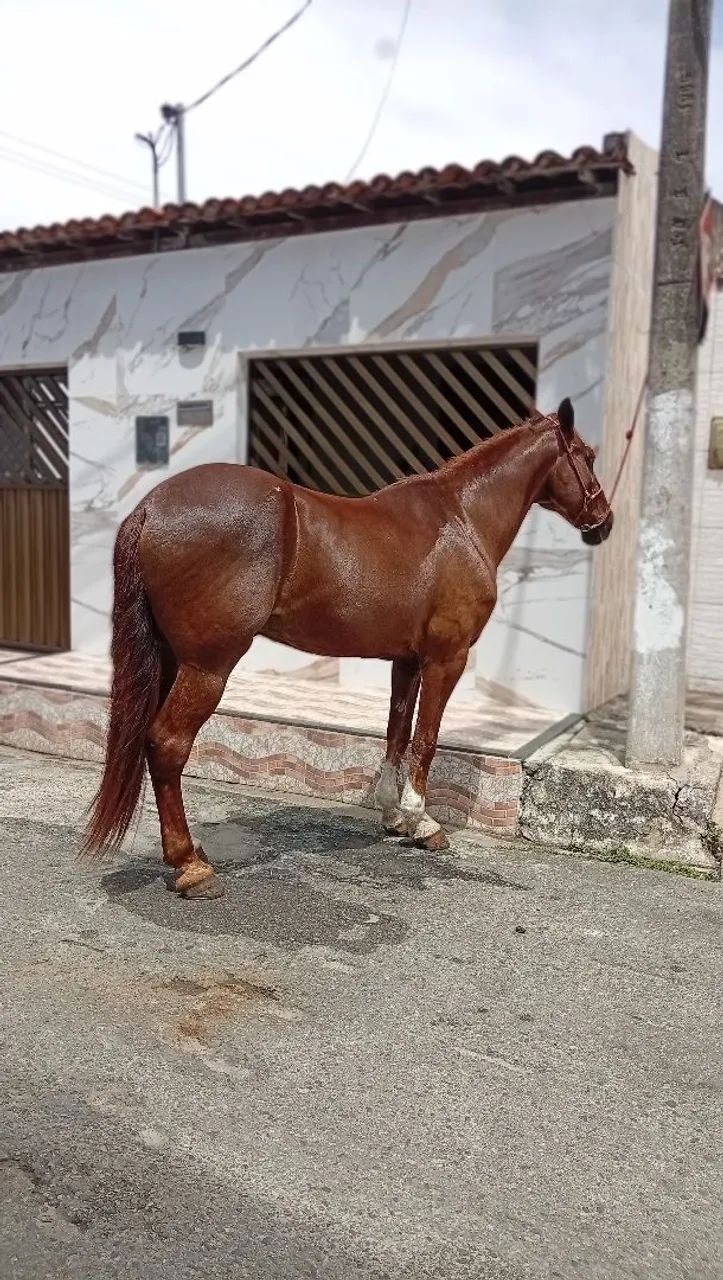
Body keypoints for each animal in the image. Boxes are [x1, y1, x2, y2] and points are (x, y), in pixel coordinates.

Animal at [82, 397, 613, 897]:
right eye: (587, 456)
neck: (460, 519)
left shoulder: (406, 661)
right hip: (207, 667)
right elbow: (427, 738)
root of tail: (151, 507)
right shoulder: (448, 659)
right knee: (168, 744)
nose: (604, 521)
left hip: (171, 660)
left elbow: (397, 732)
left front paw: (394, 816)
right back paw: (190, 867)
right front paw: (423, 823)